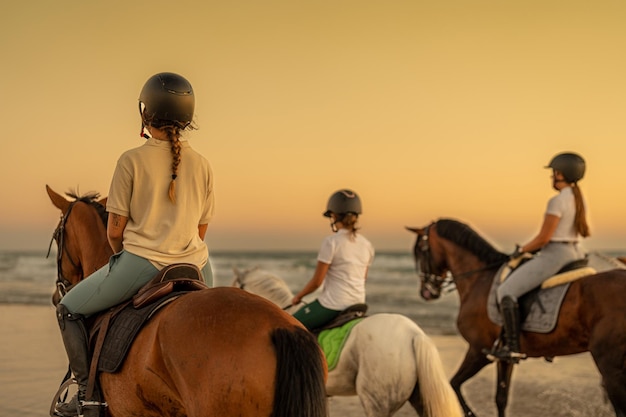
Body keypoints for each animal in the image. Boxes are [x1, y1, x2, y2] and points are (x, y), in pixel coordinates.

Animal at [404, 218, 624, 416]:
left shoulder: (478, 351)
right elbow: (501, 398)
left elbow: (454, 385)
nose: (426, 292)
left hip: (608, 363)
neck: (480, 280)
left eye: (421, 250)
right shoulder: (504, 356)